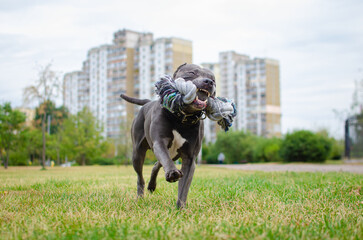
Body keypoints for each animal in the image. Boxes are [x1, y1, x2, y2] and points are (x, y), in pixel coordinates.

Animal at [121, 63, 216, 208]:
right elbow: (165, 159)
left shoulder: (190, 158)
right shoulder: (159, 142)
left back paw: (152, 186)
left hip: (173, 154)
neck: (182, 117)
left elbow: (184, 187)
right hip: (137, 153)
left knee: (156, 165)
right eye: (192, 73)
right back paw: (140, 196)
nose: (209, 82)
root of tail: (148, 102)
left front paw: (181, 208)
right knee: (140, 176)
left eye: (214, 79)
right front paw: (172, 172)